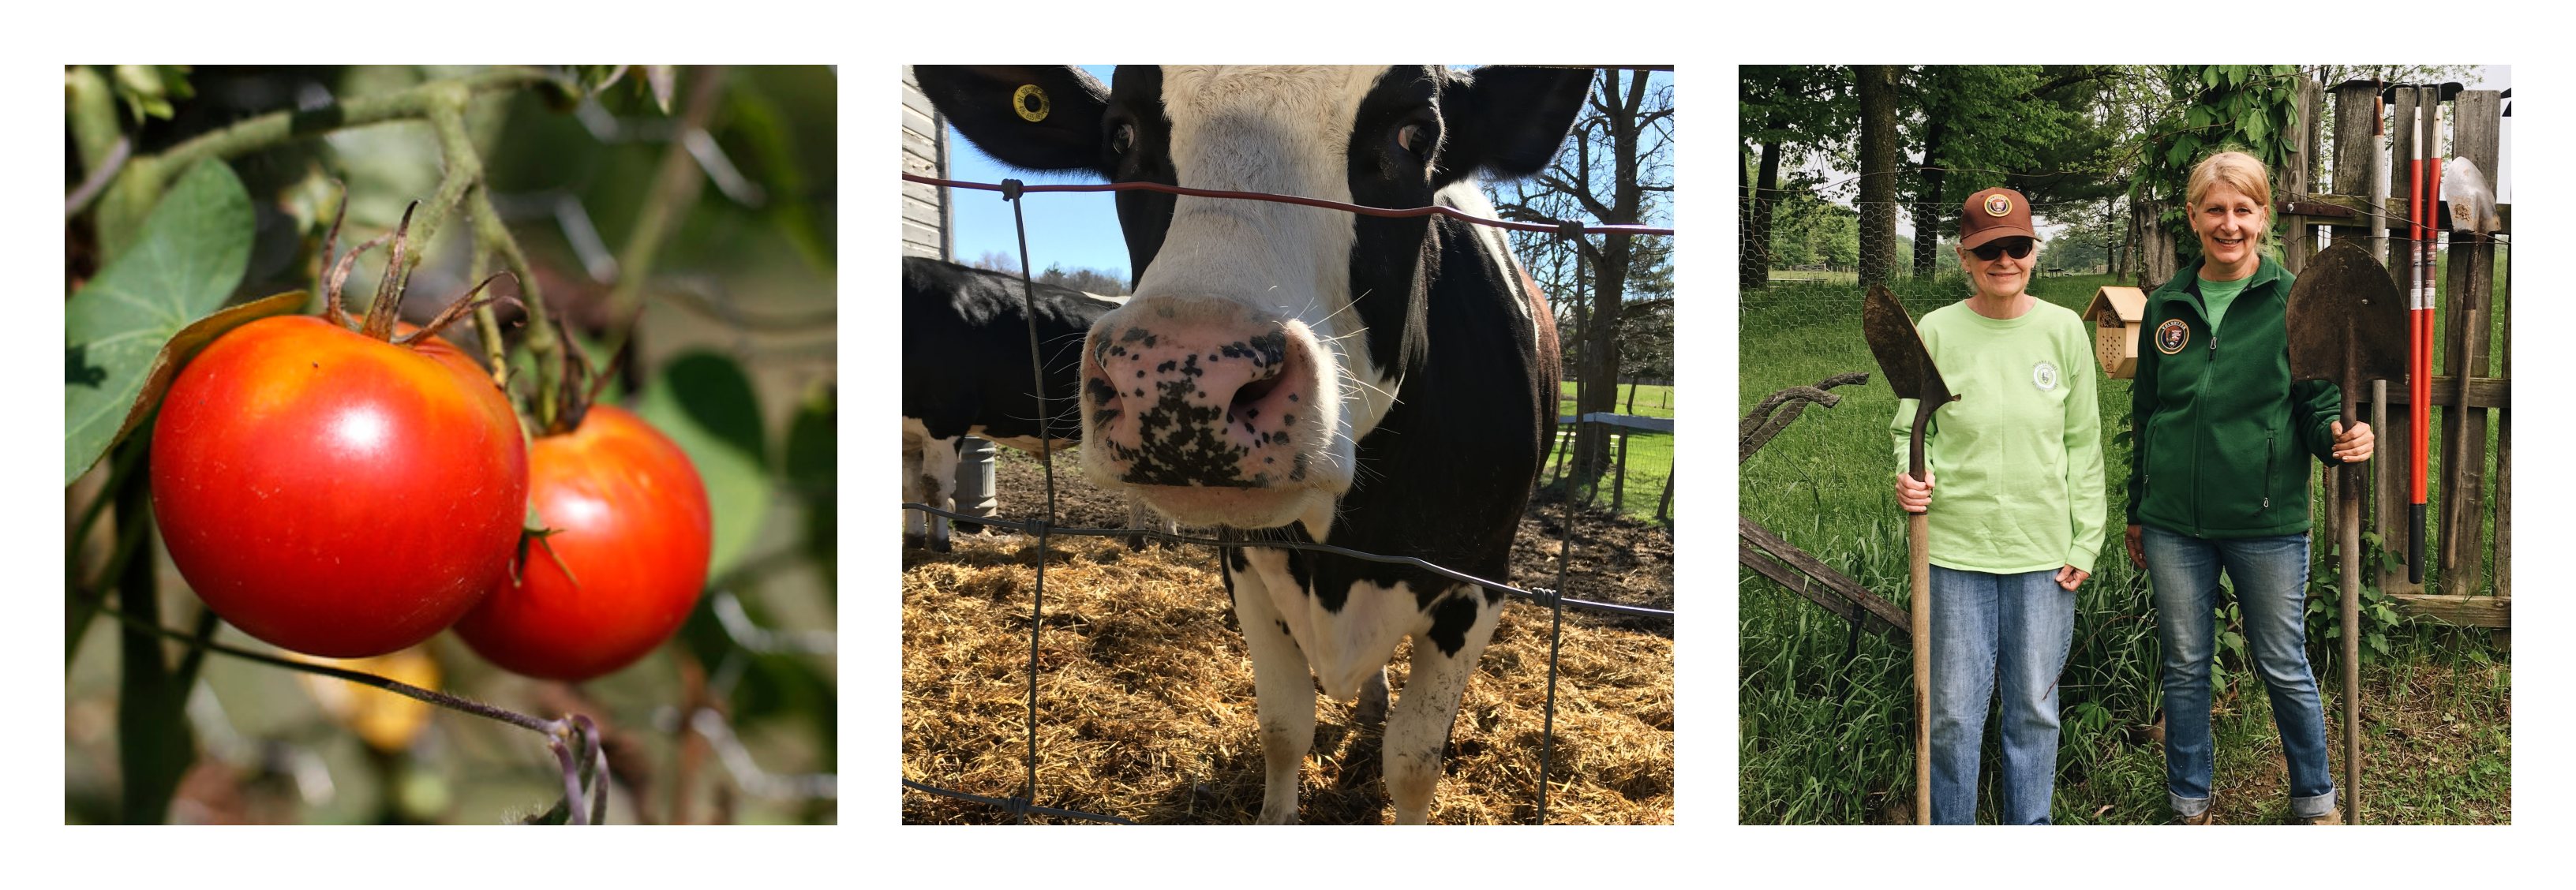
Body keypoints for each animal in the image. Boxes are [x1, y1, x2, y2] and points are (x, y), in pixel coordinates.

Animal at [901, 253, 1174, 552]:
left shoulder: (947, 416)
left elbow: (934, 487)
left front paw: (939, 543)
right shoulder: (909, 434)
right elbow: (909, 489)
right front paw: (913, 539)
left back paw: (1165, 538)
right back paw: (1139, 539)